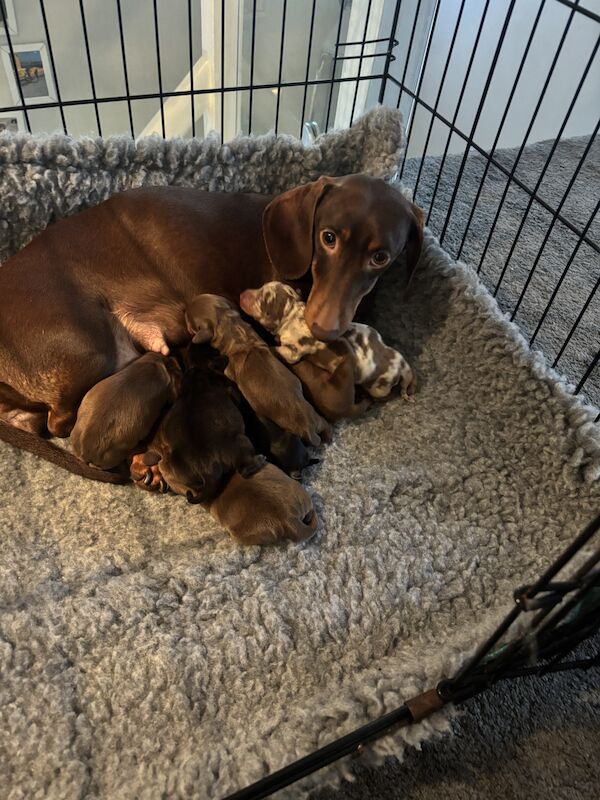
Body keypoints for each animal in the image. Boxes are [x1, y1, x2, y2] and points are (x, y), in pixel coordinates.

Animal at [139, 346, 266, 506]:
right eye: (214, 352)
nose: (224, 355)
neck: (197, 370)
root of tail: (208, 471)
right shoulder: (229, 388)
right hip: (242, 441)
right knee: (244, 470)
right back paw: (260, 459)